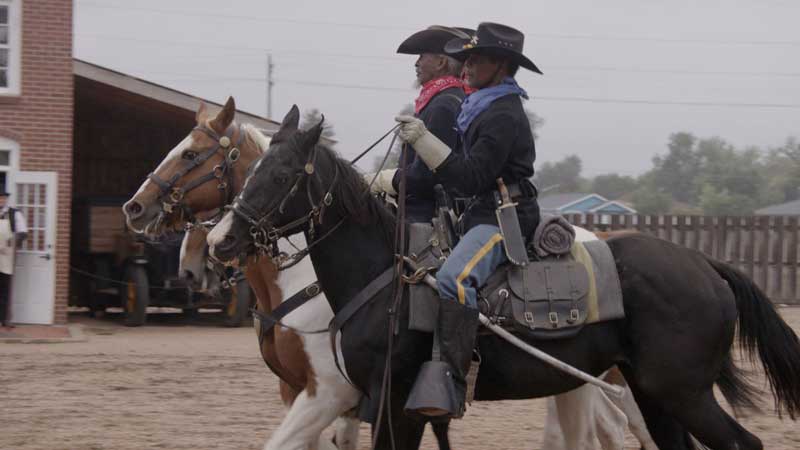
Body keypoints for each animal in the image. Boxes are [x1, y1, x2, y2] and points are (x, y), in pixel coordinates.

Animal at [208, 107, 800, 448]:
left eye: (280, 175)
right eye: (249, 170)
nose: (219, 241)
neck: (384, 278)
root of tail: (706, 266)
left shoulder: (393, 402)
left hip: (684, 393)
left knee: (743, 445)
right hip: (655, 393)